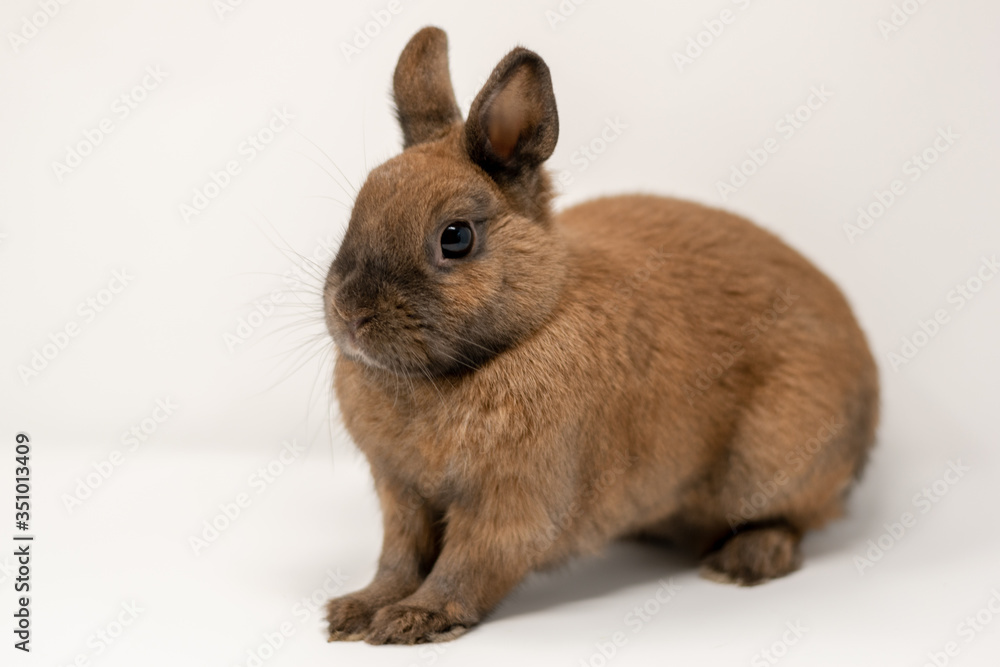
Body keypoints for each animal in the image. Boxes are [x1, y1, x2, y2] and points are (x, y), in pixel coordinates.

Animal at [322, 26, 878, 645]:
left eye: (456, 237)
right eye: (358, 209)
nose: (351, 313)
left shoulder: (514, 503)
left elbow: (467, 565)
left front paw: (413, 620)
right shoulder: (402, 494)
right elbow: (398, 559)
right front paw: (354, 612)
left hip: (775, 457)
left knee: (794, 518)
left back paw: (744, 562)